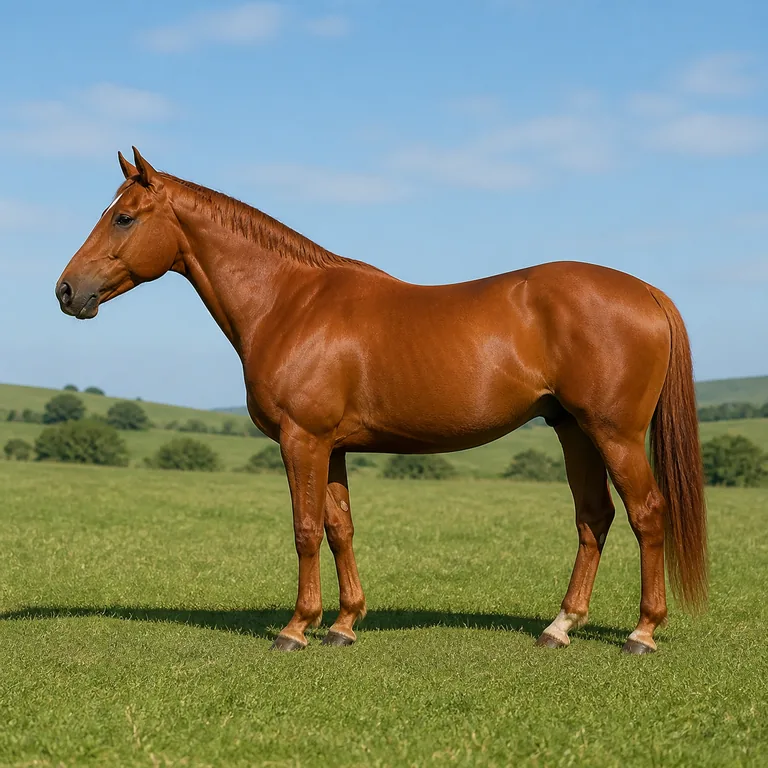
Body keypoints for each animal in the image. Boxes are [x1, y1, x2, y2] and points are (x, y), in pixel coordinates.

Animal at [56, 147, 707, 654]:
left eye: (123, 218)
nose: (66, 291)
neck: (290, 302)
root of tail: (646, 292)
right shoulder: (332, 447)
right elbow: (339, 527)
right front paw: (343, 624)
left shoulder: (302, 439)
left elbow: (305, 529)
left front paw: (296, 628)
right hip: (572, 429)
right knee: (594, 518)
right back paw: (560, 626)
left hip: (613, 433)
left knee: (648, 514)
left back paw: (642, 632)